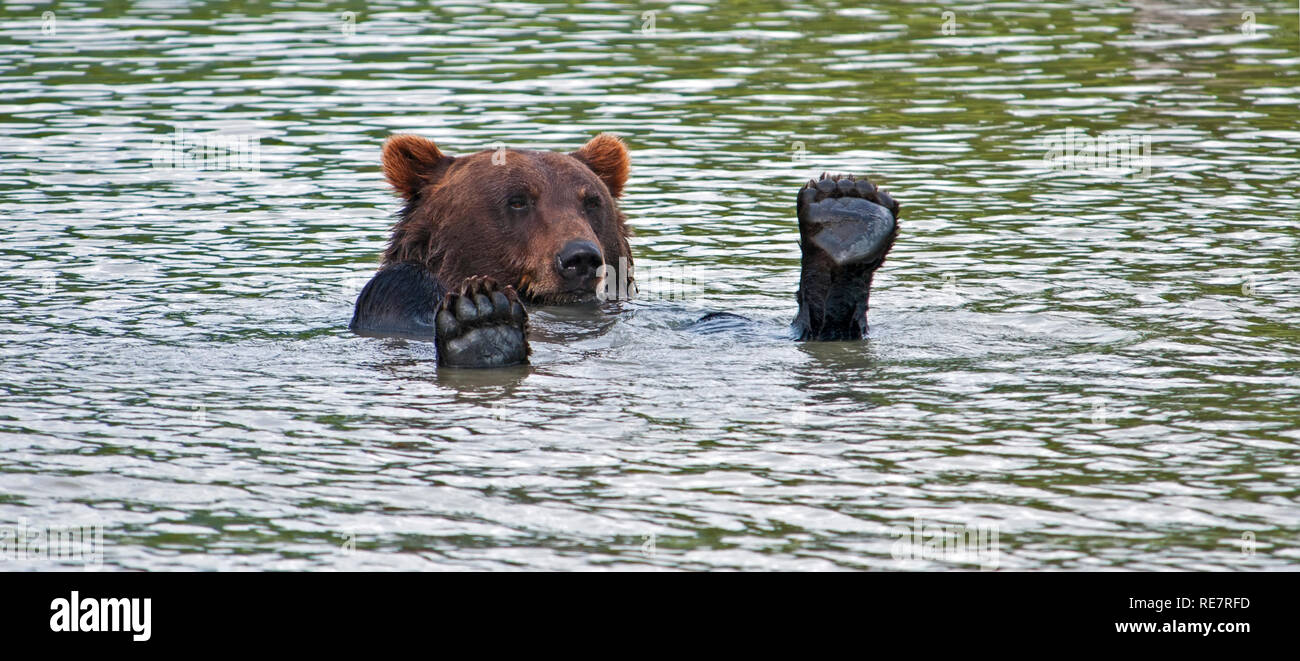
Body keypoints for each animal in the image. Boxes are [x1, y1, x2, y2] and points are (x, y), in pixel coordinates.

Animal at [351, 132, 899, 366]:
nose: (580, 258)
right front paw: (479, 311)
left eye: (590, 201)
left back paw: (846, 220)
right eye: (517, 200)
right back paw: (482, 329)